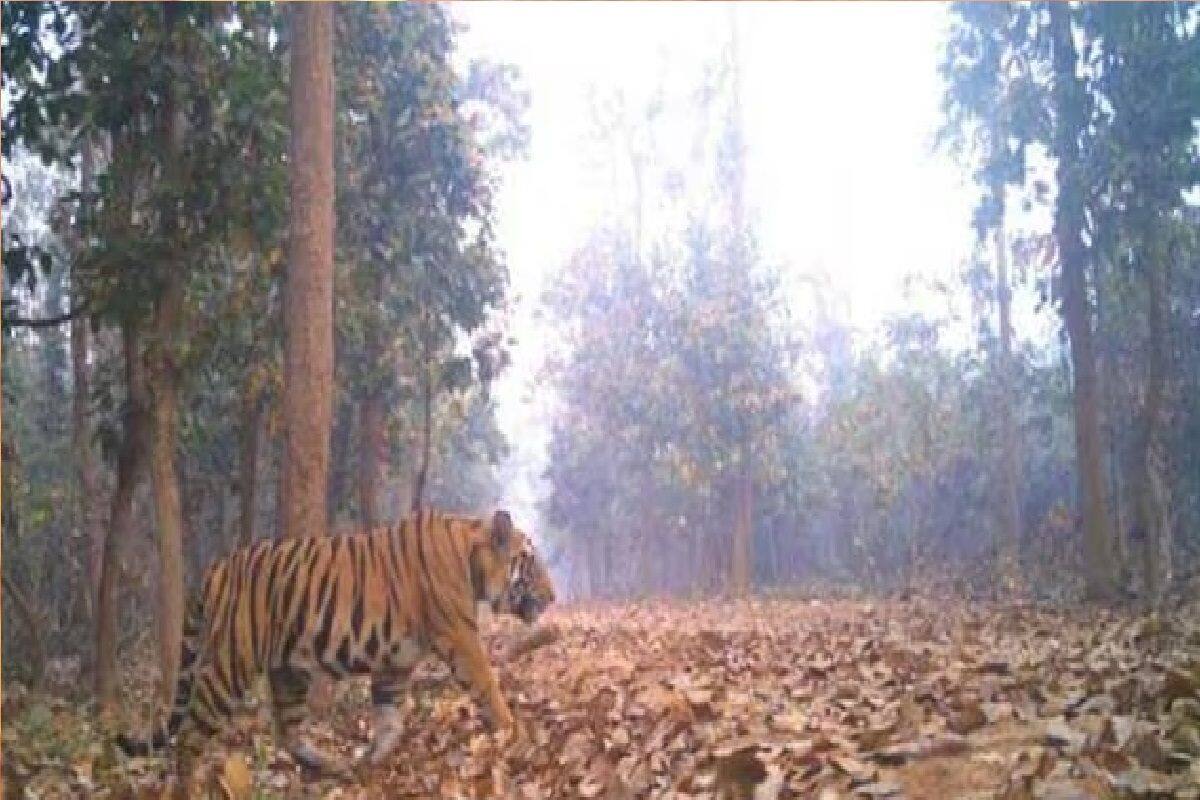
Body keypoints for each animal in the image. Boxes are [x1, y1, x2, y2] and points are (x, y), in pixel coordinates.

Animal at [116, 508, 556, 778]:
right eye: (531, 562)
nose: (553, 598)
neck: (470, 555)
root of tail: (218, 566)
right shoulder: (460, 637)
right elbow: (488, 684)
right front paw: (512, 731)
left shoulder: (394, 663)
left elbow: (389, 720)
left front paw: (373, 762)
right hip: (232, 662)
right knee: (189, 738)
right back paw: (186, 786)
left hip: (288, 669)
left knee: (287, 731)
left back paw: (331, 765)